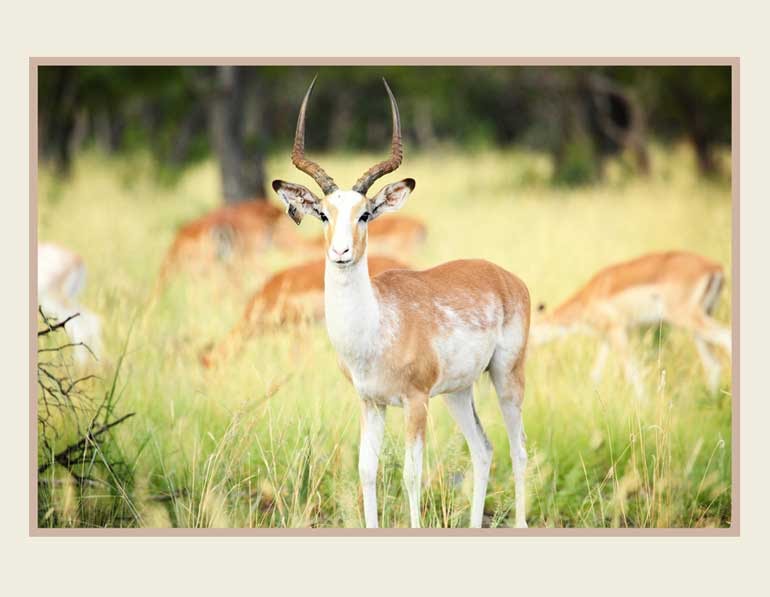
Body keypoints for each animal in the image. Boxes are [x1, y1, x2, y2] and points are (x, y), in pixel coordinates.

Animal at [272, 78, 531, 528]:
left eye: (364, 214)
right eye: (323, 214)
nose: (340, 253)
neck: (375, 330)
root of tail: (506, 277)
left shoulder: (414, 401)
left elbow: (411, 474)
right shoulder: (371, 403)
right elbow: (366, 470)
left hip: (506, 377)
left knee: (518, 450)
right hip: (458, 392)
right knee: (483, 450)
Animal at [530, 251, 731, 397]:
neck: (589, 296)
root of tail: (716, 267)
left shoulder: (618, 330)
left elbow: (631, 370)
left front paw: (644, 405)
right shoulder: (607, 337)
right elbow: (595, 374)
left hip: (687, 317)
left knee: (726, 337)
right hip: (698, 325)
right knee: (713, 365)